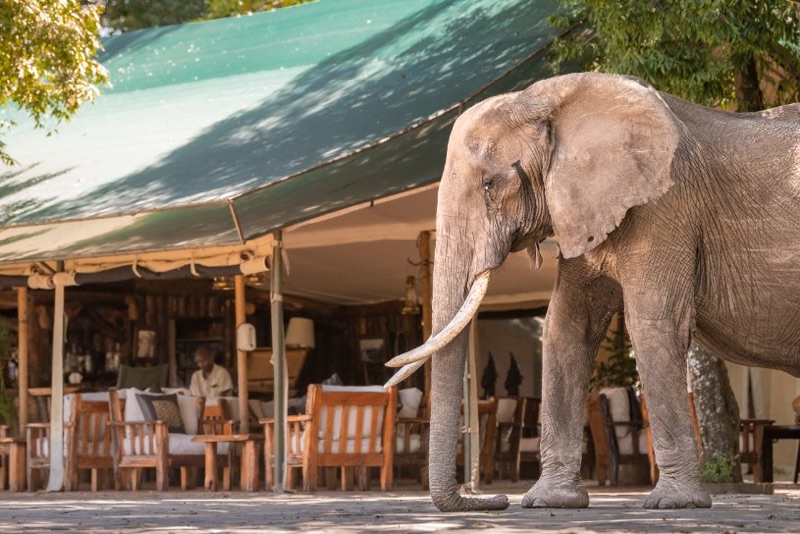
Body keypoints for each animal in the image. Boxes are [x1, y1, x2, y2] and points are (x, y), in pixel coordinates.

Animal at [386, 72, 800, 512]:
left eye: (490, 184)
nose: (493, 498)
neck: (546, 100)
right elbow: (567, 325)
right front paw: (550, 501)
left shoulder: (665, 206)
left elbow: (653, 323)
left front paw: (673, 504)